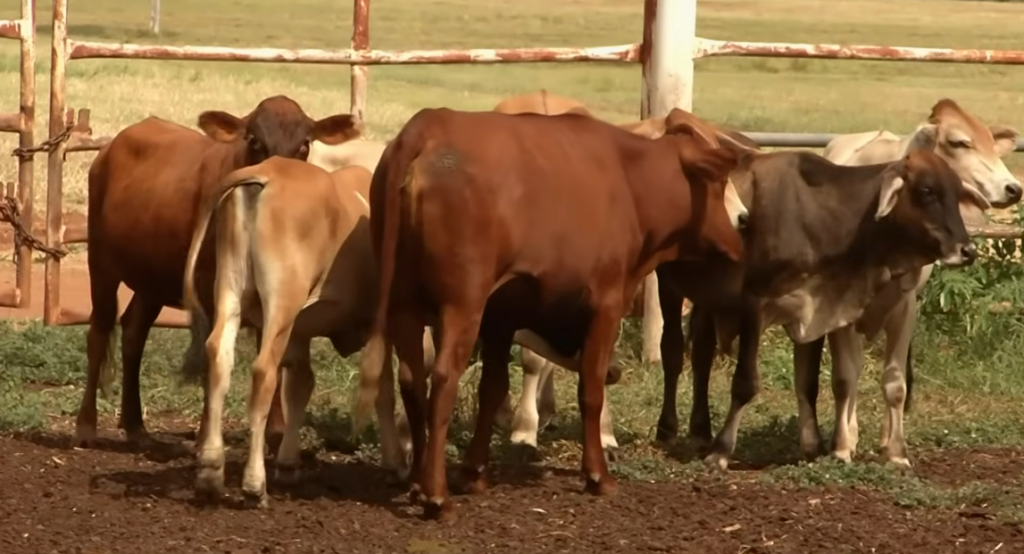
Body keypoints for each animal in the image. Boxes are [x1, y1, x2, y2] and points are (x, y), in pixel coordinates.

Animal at [74, 95, 361, 448]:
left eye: (305, 145)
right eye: (254, 140)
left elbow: (274, 354)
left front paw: (275, 432)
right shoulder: (210, 287)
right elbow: (214, 356)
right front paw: (204, 437)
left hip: (152, 278)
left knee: (133, 332)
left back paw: (136, 426)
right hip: (101, 260)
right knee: (100, 329)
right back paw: (86, 426)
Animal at [352, 107, 748, 519]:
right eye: (719, 182)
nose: (744, 222)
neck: (629, 179)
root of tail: (428, 124)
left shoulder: (502, 317)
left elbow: (492, 390)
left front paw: (474, 472)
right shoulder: (605, 305)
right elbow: (591, 390)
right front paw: (597, 476)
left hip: (404, 307)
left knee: (412, 381)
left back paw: (417, 483)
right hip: (461, 306)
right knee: (443, 380)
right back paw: (436, 496)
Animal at [670, 147, 986, 471]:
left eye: (957, 193)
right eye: (926, 191)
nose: (968, 251)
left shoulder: (820, 310)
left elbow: (816, 382)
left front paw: (827, 447)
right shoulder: (754, 305)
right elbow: (747, 383)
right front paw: (721, 452)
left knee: (701, 352)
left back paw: (700, 432)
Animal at [791, 99, 1021, 466]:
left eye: (988, 139)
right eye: (959, 142)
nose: (1013, 188)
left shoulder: (905, 307)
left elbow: (895, 383)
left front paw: (896, 452)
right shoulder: (841, 312)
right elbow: (844, 378)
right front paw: (841, 447)